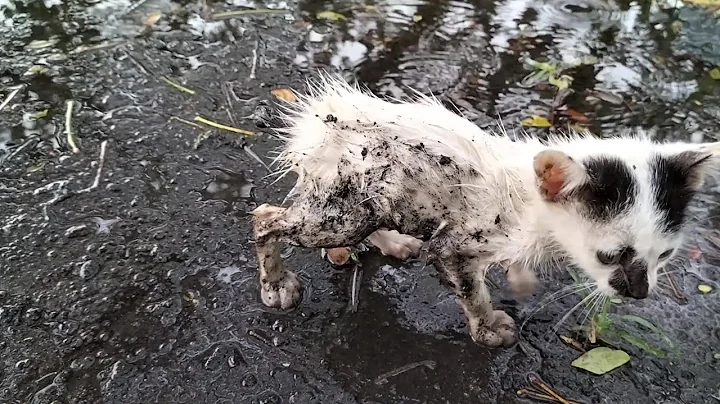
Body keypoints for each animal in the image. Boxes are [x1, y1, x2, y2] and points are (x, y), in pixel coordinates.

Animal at [250, 74, 716, 348]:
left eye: (665, 255)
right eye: (610, 256)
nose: (639, 293)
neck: (528, 205)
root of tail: (317, 124)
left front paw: (519, 281)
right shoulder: (455, 245)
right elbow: (472, 292)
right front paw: (489, 328)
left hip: (363, 200)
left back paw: (388, 242)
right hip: (338, 216)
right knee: (266, 216)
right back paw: (276, 285)